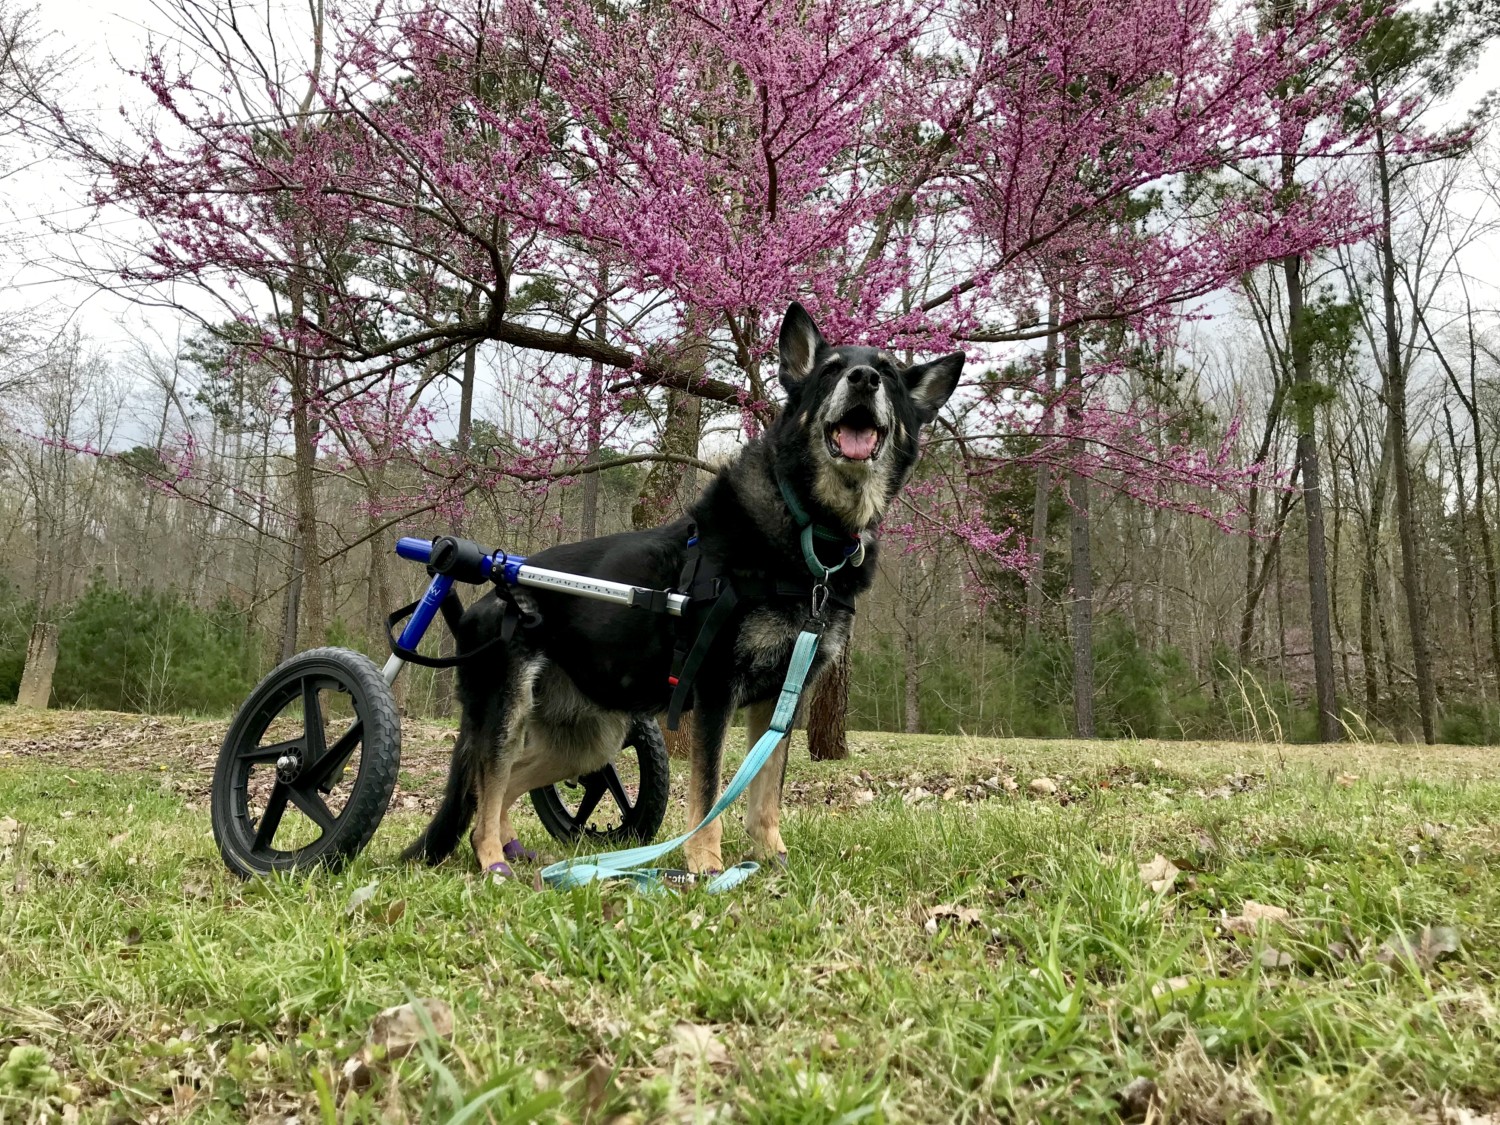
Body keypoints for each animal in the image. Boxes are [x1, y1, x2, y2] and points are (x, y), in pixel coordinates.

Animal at [405, 304, 960, 876]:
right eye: (830, 370)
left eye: (888, 374)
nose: (864, 379)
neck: (809, 531)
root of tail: (478, 602)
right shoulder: (716, 692)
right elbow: (710, 793)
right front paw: (706, 867)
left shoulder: (781, 702)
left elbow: (765, 796)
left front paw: (772, 860)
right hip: (507, 712)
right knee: (485, 793)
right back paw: (495, 863)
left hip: (586, 741)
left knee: (501, 790)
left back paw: (519, 855)